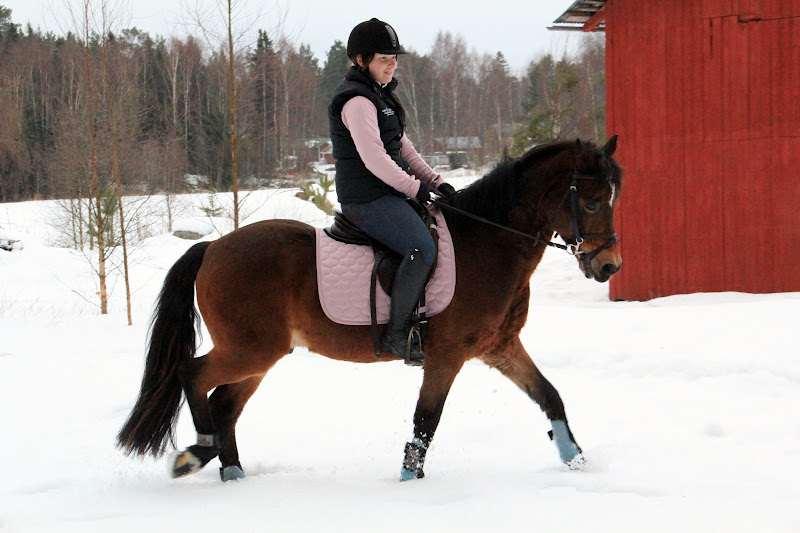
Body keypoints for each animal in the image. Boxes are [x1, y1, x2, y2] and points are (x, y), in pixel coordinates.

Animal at [117, 136, 623, 482]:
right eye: (591, 202)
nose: (609, 267)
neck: (488, 242)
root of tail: (213, 248)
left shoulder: (499, 347)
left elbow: (550, 396)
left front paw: (576, 461)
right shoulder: (447, 355)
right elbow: (426, 421)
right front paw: (410, 480)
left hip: (260, 355)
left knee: (224, 403)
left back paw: (233, 474)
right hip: (250, 349)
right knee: (193, 374)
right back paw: (195, 454)